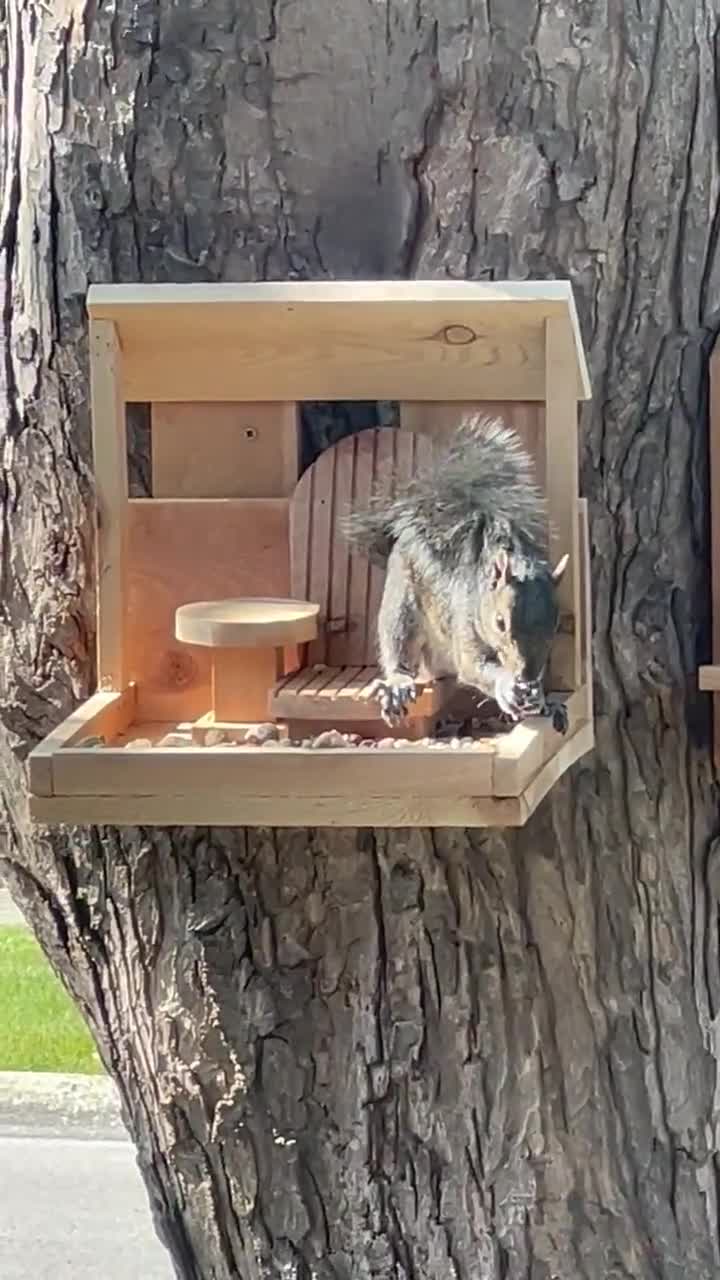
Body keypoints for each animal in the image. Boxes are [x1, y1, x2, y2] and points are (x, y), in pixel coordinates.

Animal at [342, 414, 569, 734]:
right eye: (500, 622)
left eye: (556, 623)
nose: (525, 676)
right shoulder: (465, 627)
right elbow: (473, 666)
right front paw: (507, 687)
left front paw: (542, 701)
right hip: (402, 605)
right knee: (398, 644)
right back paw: (397, 684)